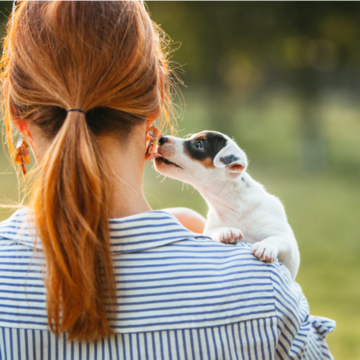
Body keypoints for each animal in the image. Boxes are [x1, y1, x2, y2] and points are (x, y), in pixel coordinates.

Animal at [153, 131, 300, 280]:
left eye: (198, 145)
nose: (161, 138)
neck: (233, 206)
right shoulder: (208, 231)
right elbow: (216, 231)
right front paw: (226, 231)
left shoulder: (287, 244)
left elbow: (275, 239)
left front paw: (265, 247)